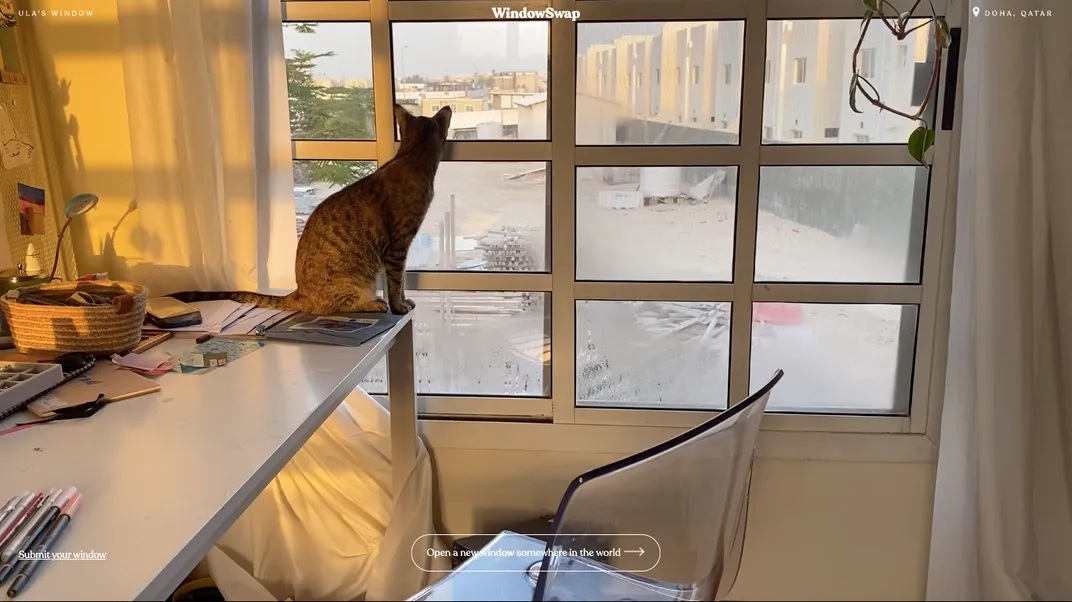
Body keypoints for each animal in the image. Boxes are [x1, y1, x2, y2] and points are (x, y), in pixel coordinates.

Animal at [168, 104, 452, 314]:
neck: (410, 155)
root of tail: (298, 292)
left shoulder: (400, 248)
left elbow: (401, 281)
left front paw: (404, 301)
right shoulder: (398, 245)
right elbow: (396, 282)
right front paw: (398, 306)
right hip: (353, 282)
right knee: (336, 307)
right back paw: (372, 304)